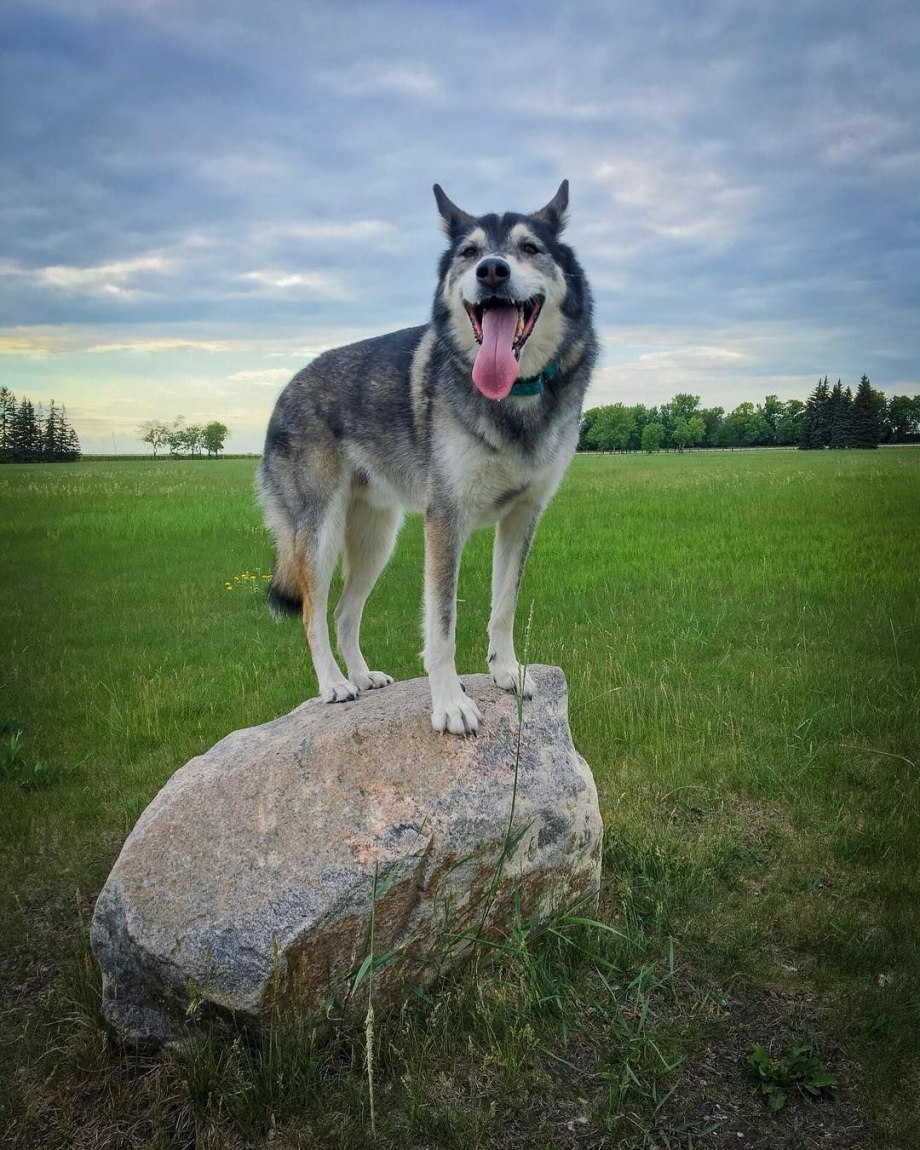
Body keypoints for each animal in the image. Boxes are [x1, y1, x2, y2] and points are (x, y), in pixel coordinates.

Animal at [256, 179, 598, 736]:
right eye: (469, 253)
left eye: (529, 248)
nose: (492, 270)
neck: (513, 399)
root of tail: (286, 389)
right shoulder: (445, 520)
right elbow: (441, 626)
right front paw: (451, 704)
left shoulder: (523, 516)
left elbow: (504, 606)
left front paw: (507, 672)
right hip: (320, 536)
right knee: (312, 612)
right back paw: (333, 684)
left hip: (377, 539)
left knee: (344, 613)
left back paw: (364, 676)